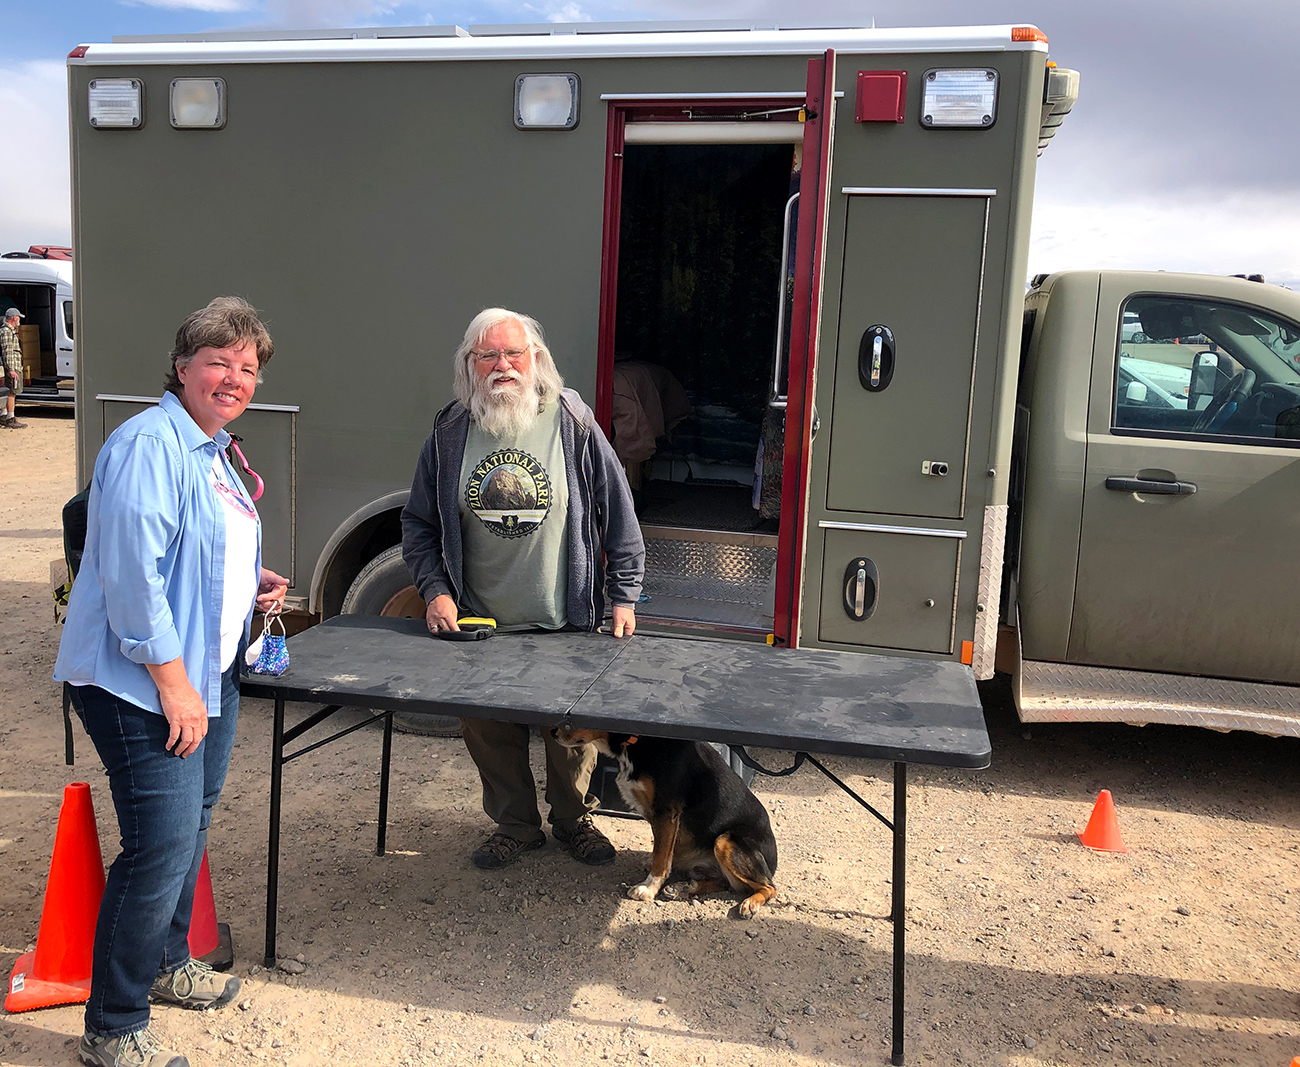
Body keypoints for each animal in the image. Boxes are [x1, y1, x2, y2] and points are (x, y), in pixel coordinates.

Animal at [552, 724, 778, 917]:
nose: (553, 732)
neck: (640, 741)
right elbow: (662, 850)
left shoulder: (666, 812)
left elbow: (661, 856)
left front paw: (648, 888)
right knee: (726, 883)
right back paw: (683, 887)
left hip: (725, 840)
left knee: (768, 887)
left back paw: (750, 903)